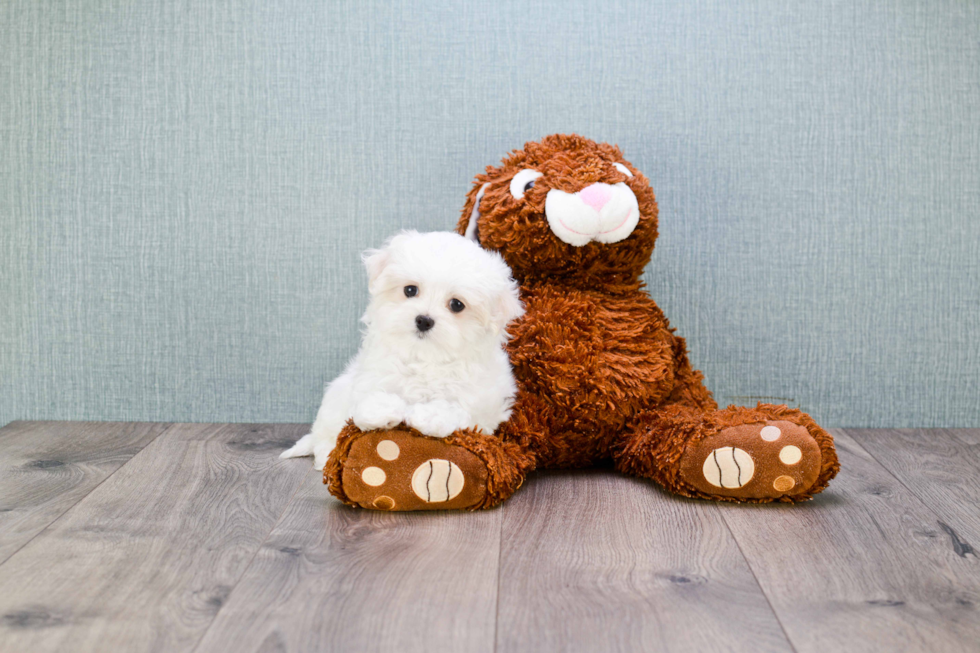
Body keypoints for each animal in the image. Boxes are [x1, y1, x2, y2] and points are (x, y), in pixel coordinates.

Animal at [280, 229, 524, 468]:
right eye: (410, 290)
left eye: (457, 304)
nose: (424, 320)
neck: (423, 359)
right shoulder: (371, 377)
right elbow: (368, 401)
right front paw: (385, 409)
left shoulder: (484, 407)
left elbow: (456, 409)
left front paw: (429, 415)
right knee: (324, 437)